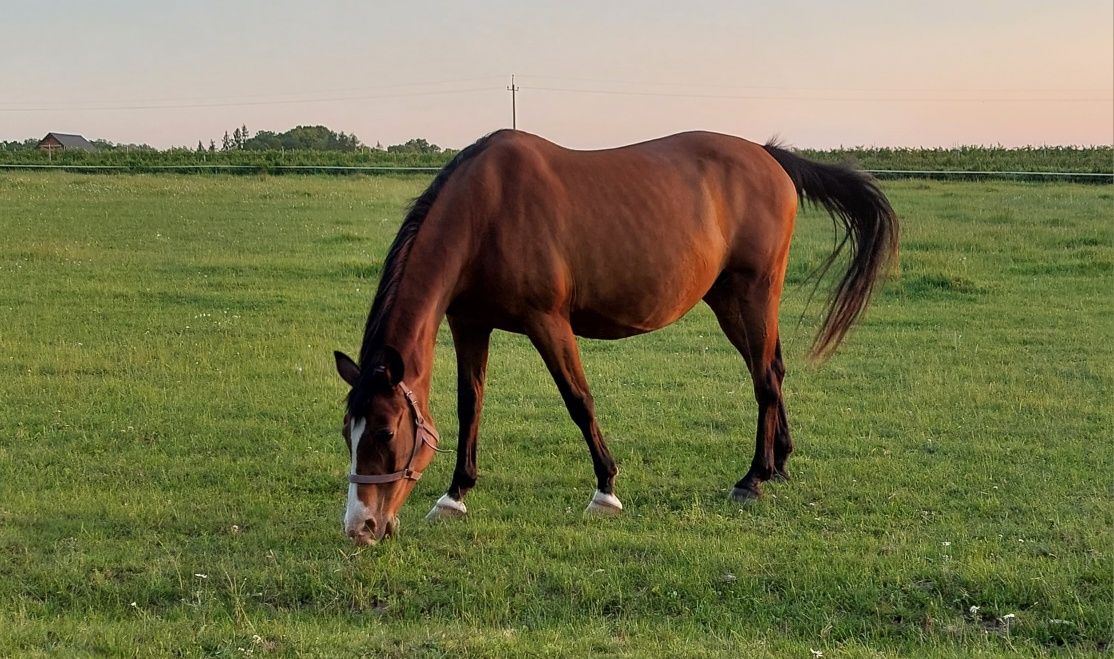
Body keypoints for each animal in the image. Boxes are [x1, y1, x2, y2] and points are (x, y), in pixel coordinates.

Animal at [329, 130, 895, 545]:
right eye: (346, 433)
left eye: (384, 433)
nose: (361, 527)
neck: (485, 210)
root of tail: (768, 155)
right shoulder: (469, 323)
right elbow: (472, 405)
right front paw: (455, 495)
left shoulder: (548, 322)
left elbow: (579, 400)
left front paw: (606, 490)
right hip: (729, 301)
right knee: (772, 371)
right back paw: (779, 465)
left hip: (754, 293)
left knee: (764, 382)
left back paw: (752, 478)